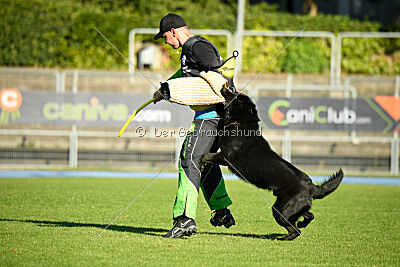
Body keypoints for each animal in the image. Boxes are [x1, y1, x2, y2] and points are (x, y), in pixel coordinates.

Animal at [202, 87, 342, 241]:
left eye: (237, 96)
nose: (226, 87)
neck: (241, 124)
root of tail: (311, 186)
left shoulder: (225, 156)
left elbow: (206, 156)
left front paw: (201, 162)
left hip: (281, 210)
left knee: (295, 230)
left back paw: (282, 238)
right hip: (294, 207)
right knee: (309, 216)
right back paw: (302, 224)